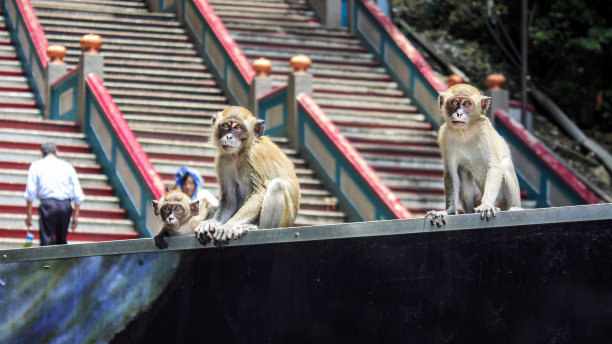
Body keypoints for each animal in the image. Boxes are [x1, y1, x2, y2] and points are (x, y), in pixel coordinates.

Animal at [195, 106, 300, 246]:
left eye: (238, 127)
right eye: (225, 125)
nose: (229, 136)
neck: (238, 153)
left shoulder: (253, 154)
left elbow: (259, 192)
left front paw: (228, 226)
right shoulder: (224, 160)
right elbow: (229, 199)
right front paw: (212, 223)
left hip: (285, 219)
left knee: (276, 186)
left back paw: (255, 227)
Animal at [426, 83, 520, 227]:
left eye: (466, 103)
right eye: (454, 102)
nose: (459, 113)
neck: (465, 131)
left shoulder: (485, 129)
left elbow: (495, 166)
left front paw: (486, 205)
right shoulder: (445, 135)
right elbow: (451, 172)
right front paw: (449, 211)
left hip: (500, 198)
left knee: (506, 164)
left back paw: (513, 208)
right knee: (462, 170)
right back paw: (470, 211)